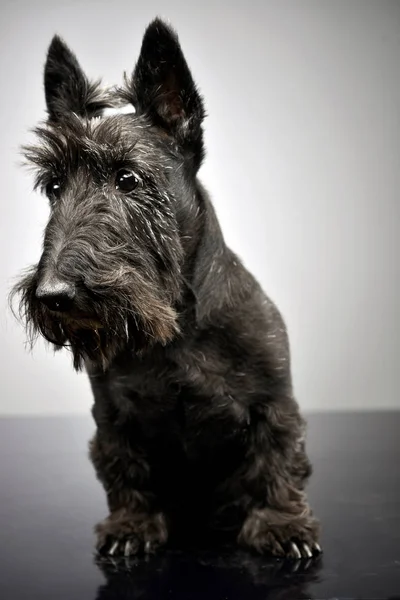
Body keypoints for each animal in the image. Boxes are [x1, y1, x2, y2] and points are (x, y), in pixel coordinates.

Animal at [12, 19, 322, 564]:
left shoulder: (274, 402)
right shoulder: (113, 418)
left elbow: (277, 463)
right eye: (54, 186)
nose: (53, 295)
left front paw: (281, 524)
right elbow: (126, 471)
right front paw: (132, 525)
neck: (176, 327)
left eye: (128, 177)